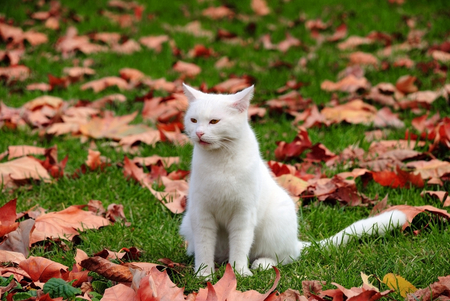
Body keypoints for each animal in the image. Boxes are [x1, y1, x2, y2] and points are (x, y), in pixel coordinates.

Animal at [179, 84, 408, 276]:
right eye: (193, 120)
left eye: (214, 121)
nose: (199, 133)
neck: (220, 162)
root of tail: (296, 242)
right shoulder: (202, 214)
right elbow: (204, 248)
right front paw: (204, 275)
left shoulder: (243, 214)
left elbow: (240, 246)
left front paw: (239, 273)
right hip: (188, 222)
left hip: (275, 224)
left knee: (284, 257)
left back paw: (262, 264)